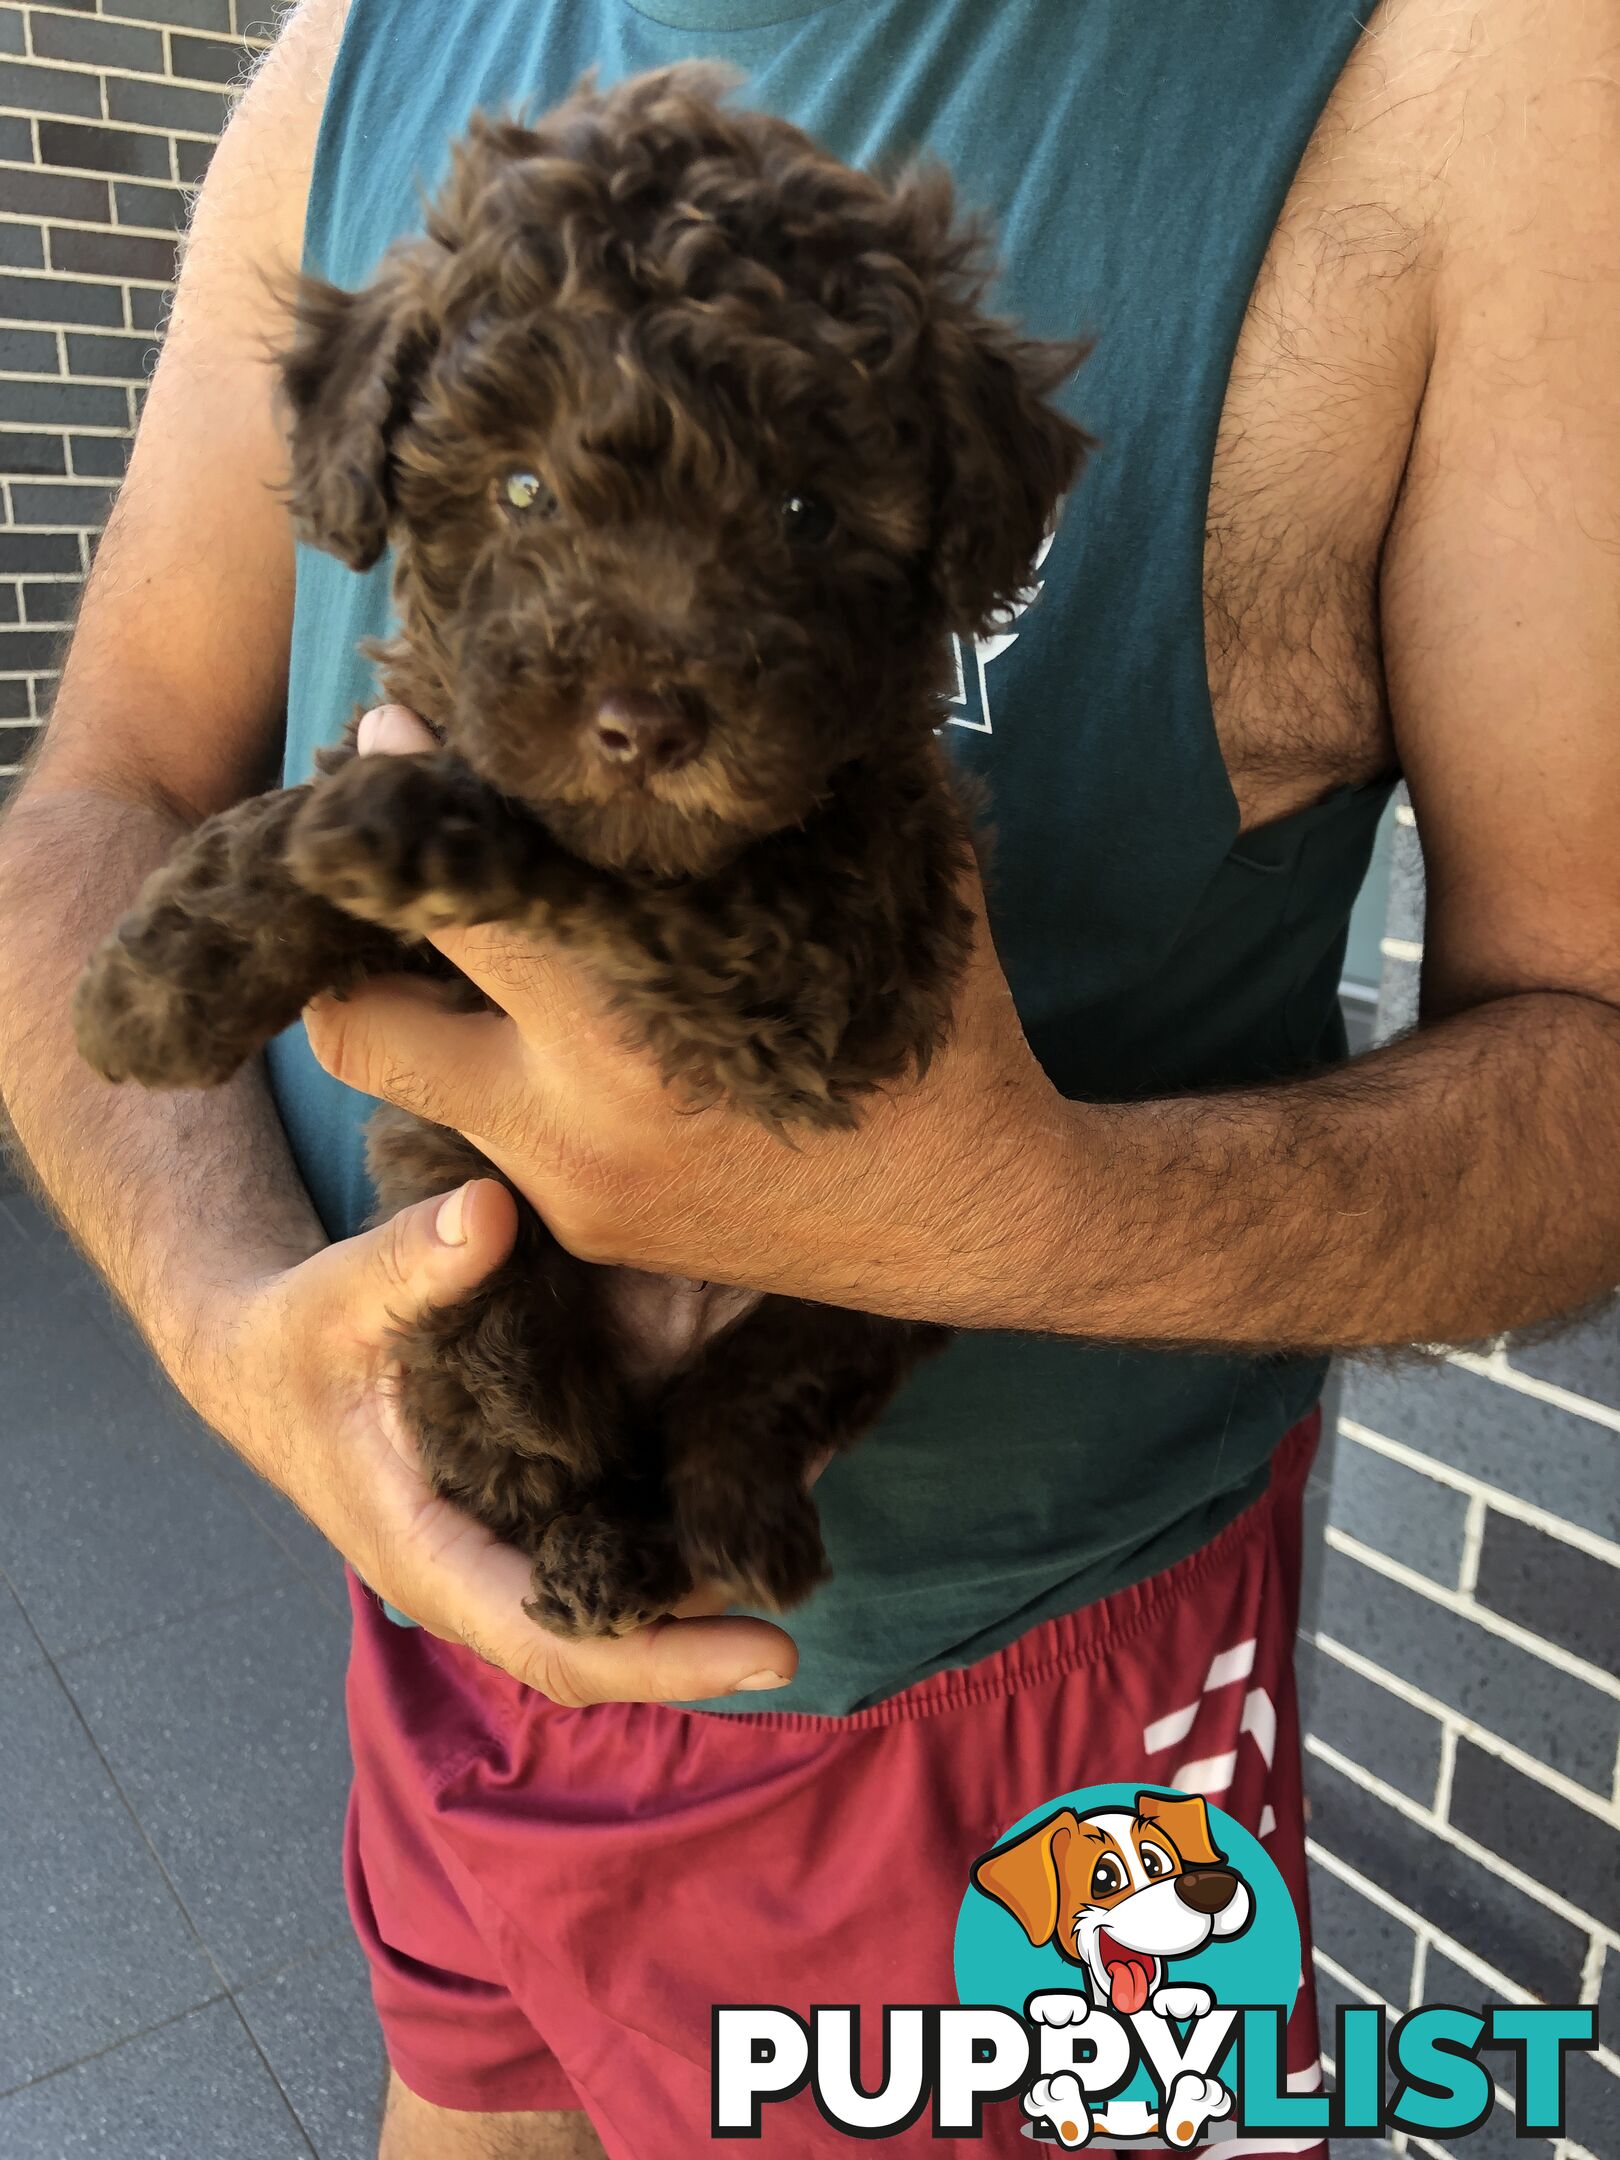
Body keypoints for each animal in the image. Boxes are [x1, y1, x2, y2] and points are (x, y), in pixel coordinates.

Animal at [76, 71, 1092, 1632]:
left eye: (806, 511)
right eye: (519, 492)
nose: (643, 723)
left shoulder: (822, 951)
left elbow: (583, 858)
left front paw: (399, 827)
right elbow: (302, 816)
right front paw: (157, 981)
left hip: (881, 1276)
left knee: (741, 1404)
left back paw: (715, 1533)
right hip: (484, 1259)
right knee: (536, 1421)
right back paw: (596, 1541)